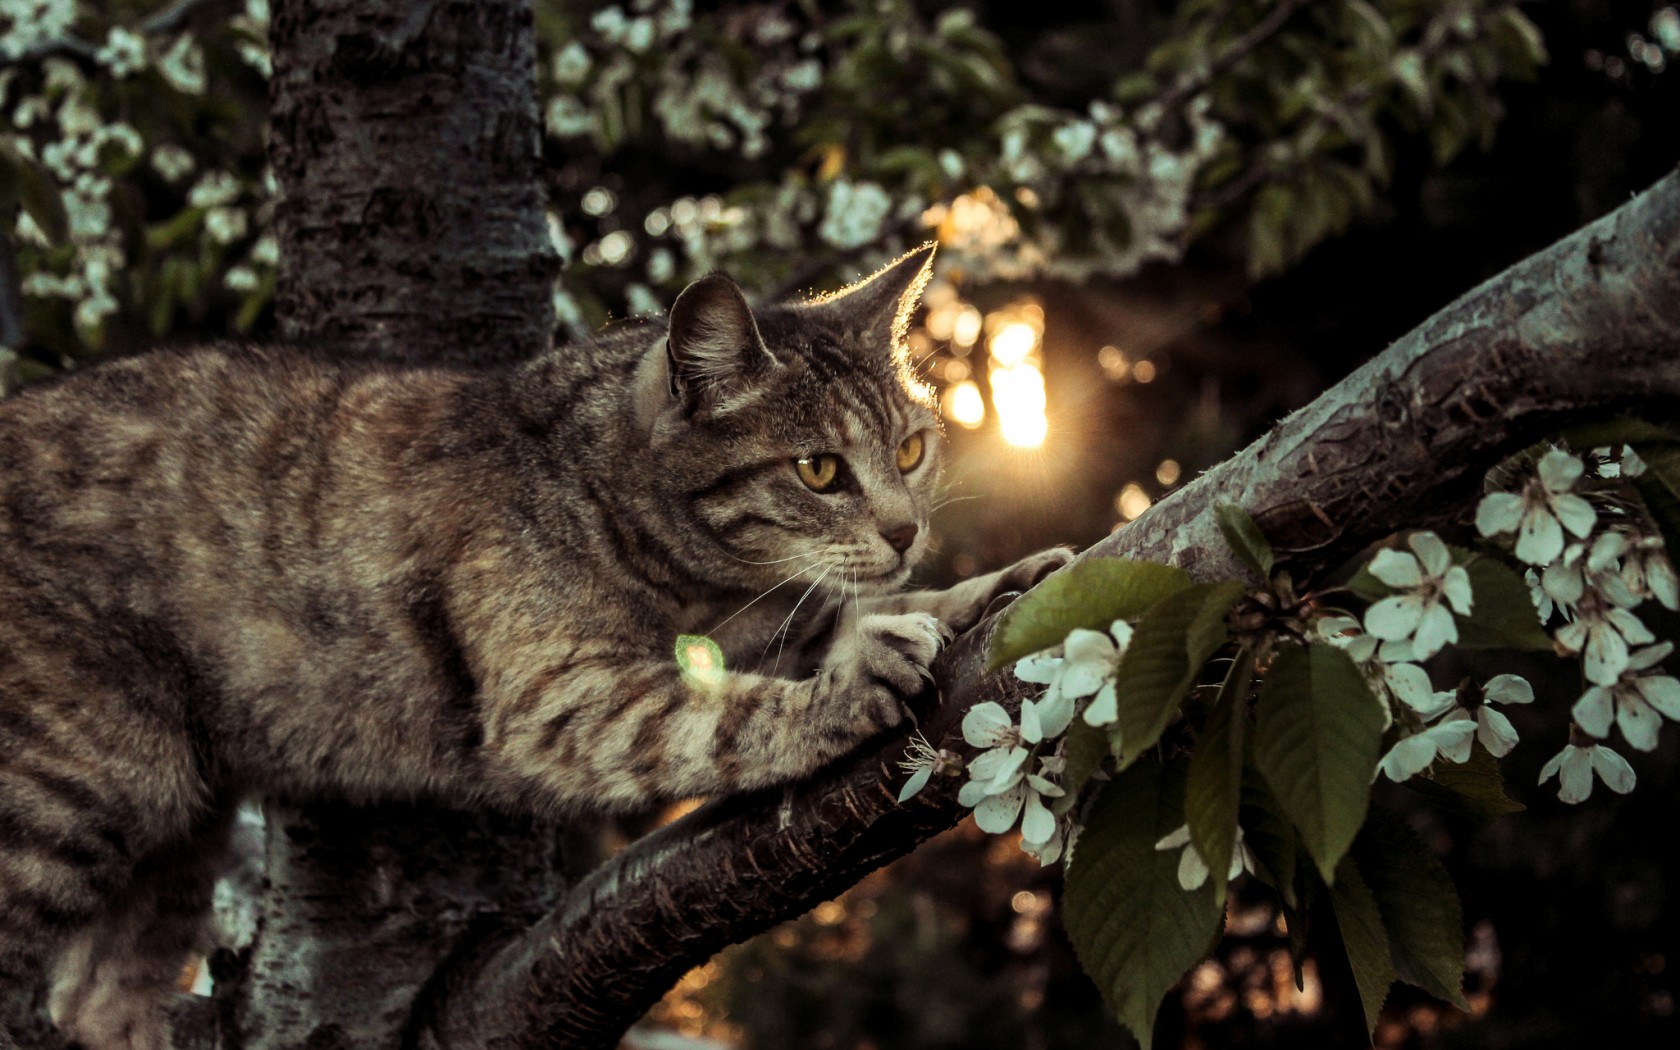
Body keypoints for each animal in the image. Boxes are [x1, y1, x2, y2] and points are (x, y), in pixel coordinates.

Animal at [0, 246, 1068, 1048]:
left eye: (911, 451)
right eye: (817, 470)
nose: (906, 531)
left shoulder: (756, 623)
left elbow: (840, 622)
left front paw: (994, 586)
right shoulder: (562, 697)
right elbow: (715, 718)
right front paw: (853, 681)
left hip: (180, 817)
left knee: (97, 999)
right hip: (80, 783)